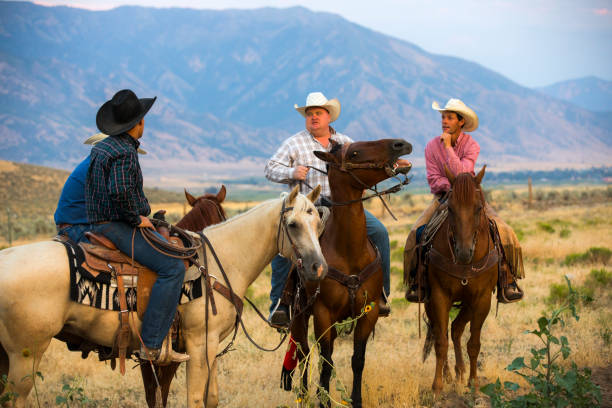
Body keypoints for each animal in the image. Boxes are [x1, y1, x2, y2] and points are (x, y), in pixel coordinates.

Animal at [290, 139, 414, 406]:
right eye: (354, 152)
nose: (401, 144)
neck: (348, 251)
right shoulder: (323, 314)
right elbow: (326, 362)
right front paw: (323, 401)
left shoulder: (368, 314)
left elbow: (357, 360)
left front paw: (354, 400)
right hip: (299, 316)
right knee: (303, 352)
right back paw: (304, 395)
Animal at [424, 164, 500, 394]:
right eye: (450, 208)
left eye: (479, 207)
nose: (464, 252)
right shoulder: (439, 296)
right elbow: (441, 342)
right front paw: (437, 386)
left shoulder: (482, 299)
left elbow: (473, 344)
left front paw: (474, 383)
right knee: (442, 332)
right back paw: (450, 374)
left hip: (468, 304)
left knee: (456, 329)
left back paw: (460, 372)